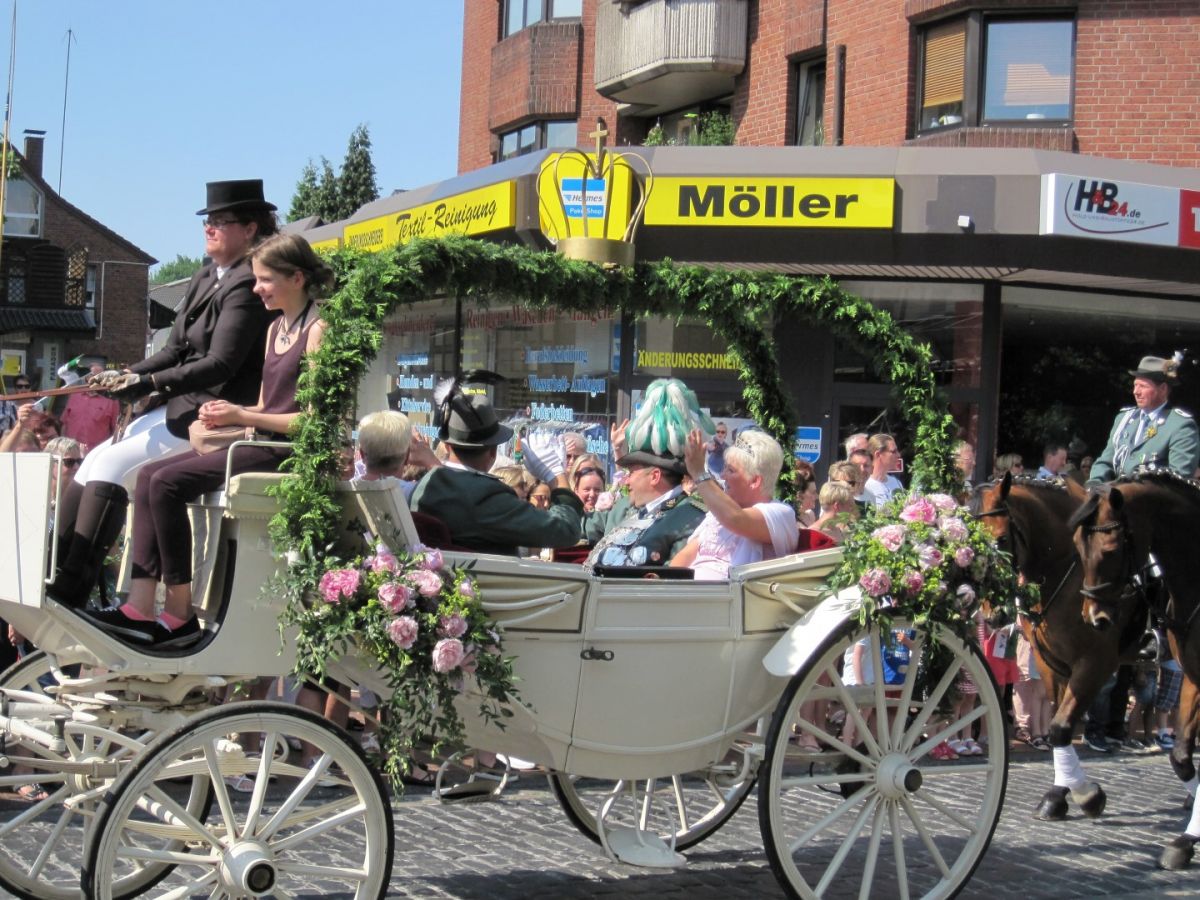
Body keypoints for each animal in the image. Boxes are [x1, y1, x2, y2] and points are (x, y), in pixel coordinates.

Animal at [974, 473, 1146, 821]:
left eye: (1001, 539)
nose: (992, 613)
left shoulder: (1095, 664)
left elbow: (1062, 726)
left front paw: (1082, 794)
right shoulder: (1051, 664)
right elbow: (1056, 723)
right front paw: (1063, 794)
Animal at [1071, 469, 1200, 870]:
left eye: (1111, 549)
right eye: (1076, 546)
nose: (1094, 618)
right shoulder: (1192, 675)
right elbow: (1181, 757)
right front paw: (1185, 841)